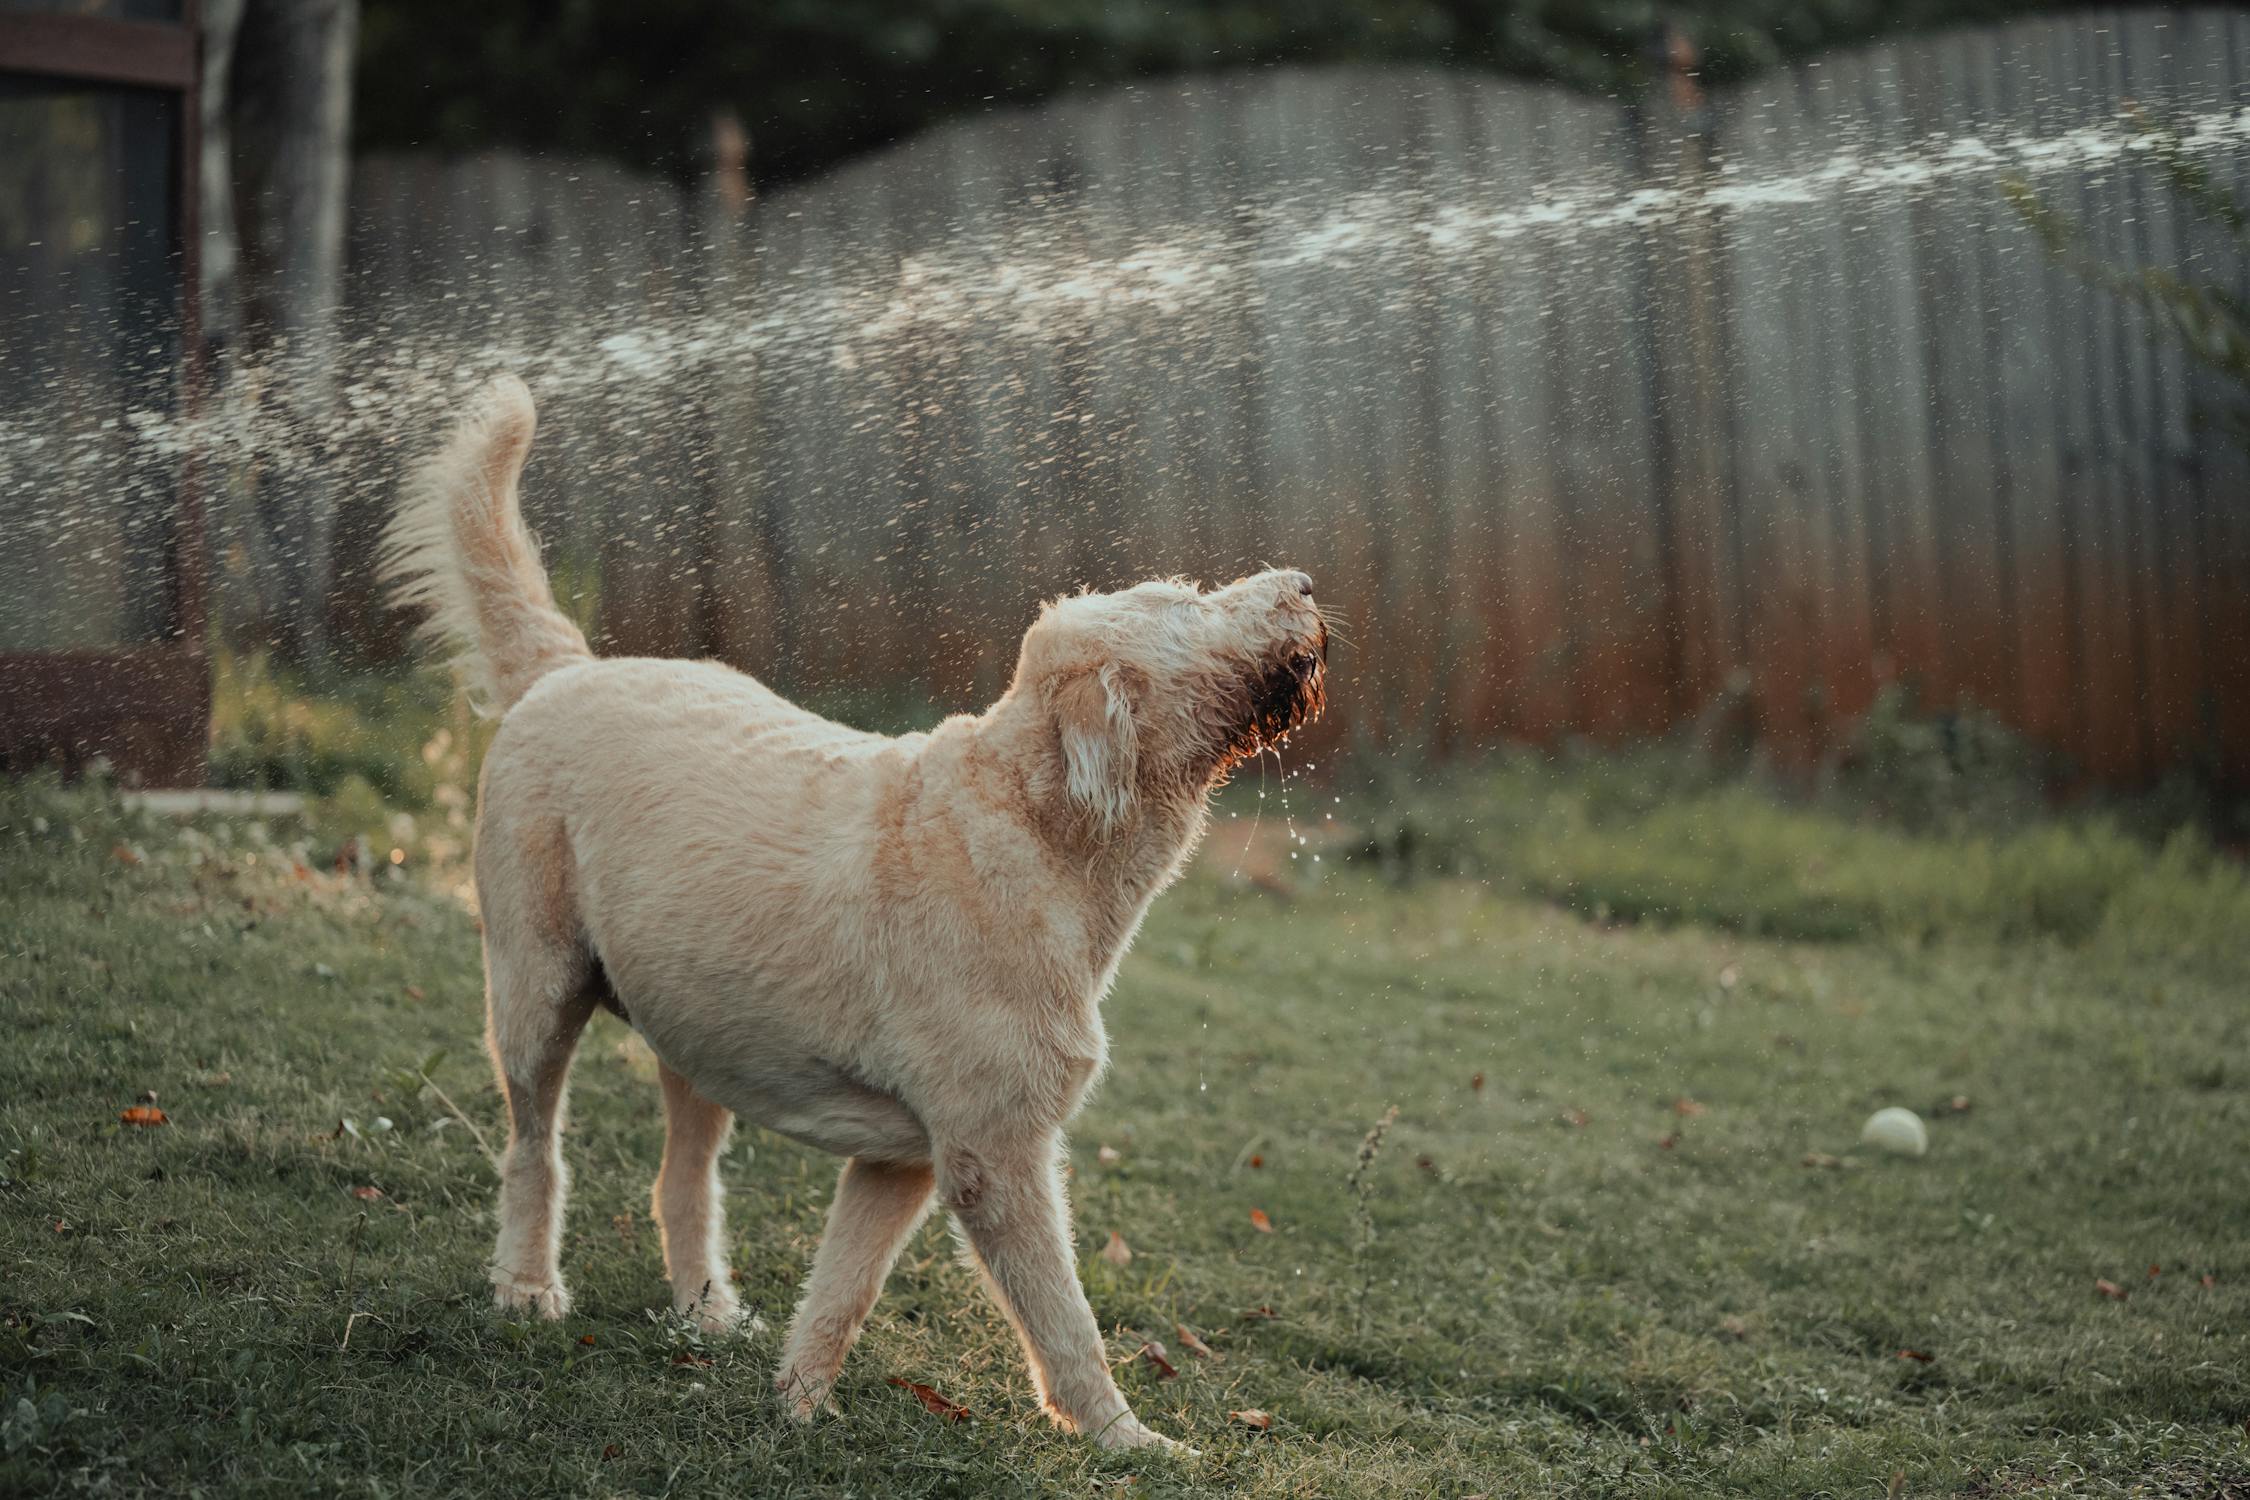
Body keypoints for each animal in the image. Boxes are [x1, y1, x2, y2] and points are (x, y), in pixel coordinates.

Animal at [382, 375, 1332, 1457]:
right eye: (1185, 602)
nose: (1306, 580)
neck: (1031, 823)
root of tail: (568, 668)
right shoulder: (993, 1156)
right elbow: (1063, 1319)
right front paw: (1127, 1439)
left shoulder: (897, 1162)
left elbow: (841, 1290)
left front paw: (797, 1405)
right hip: (536, 992)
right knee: (532, 1150)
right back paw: (528, 1286)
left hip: (699, 1031)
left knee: (680, 1180)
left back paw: (705, 1310)